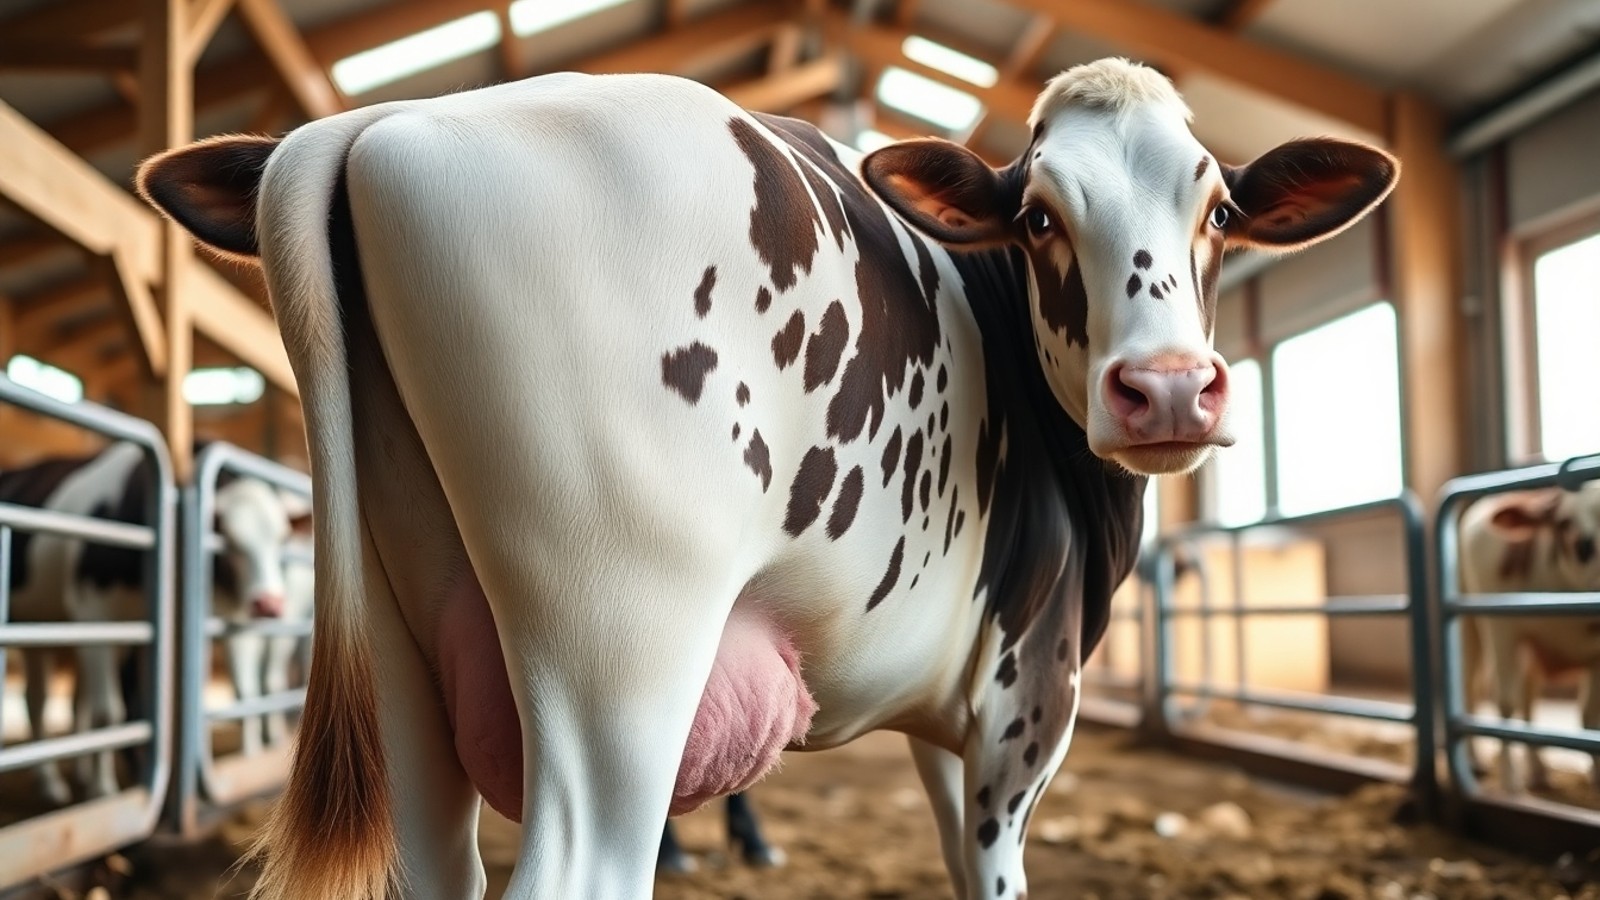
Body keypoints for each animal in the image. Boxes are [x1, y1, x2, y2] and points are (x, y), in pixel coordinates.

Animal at [1, 441, 298, 803]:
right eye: (226, 535)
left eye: (283, 539)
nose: (270, 603)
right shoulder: (93, 612)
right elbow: (109, 711)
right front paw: (105, 790)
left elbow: (242, 693)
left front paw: (251, 761)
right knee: (40, 702)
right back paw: (52, 783)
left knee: (58, 701)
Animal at [137, 59, 1396, 899]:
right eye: (1040, 215)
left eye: (1219, 208)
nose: (1171, 390)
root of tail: (381, 119)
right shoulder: (1024, 698)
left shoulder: (948, 720)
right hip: (622, 648)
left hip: (402, 655)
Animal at [1458, 482, 1600, 793]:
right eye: (1564, 522)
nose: (1584, 546)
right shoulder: (1503, 629)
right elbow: (1504, 703)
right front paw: (1510, 783)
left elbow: (1591, 717)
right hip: (1470, 627)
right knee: (1472, 690)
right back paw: (1475, 761)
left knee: (1528, 700)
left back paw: (1537, 771)